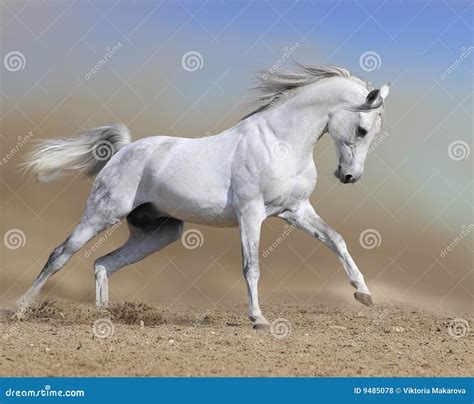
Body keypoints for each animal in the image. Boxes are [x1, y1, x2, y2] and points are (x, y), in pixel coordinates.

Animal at [18, 64, 388, 328]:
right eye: (362, 129)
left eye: (373, 133)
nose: (350, 176)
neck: (279, 141)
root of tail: (123, 150)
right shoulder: (251, 213)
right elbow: (251, 266)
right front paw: (259, 320)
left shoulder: (295, 210)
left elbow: (336, 240)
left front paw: (364, 294)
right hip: (101, 214)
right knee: (60, 255)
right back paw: (21, 309)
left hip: (159, 233)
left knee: (103, 263)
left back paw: (103, 317)